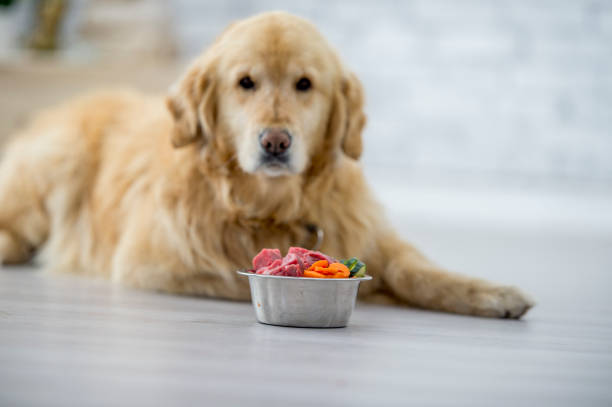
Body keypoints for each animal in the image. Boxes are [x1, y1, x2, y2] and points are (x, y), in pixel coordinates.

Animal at [0, 11, 532, 318]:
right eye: (246, 83)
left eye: (304, 84)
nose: (275, 141)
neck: (269, 205)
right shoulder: (151, 265)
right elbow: (238, 280)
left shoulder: (369, 231)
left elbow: (416, 269)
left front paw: (492, 293)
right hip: (57, 161)